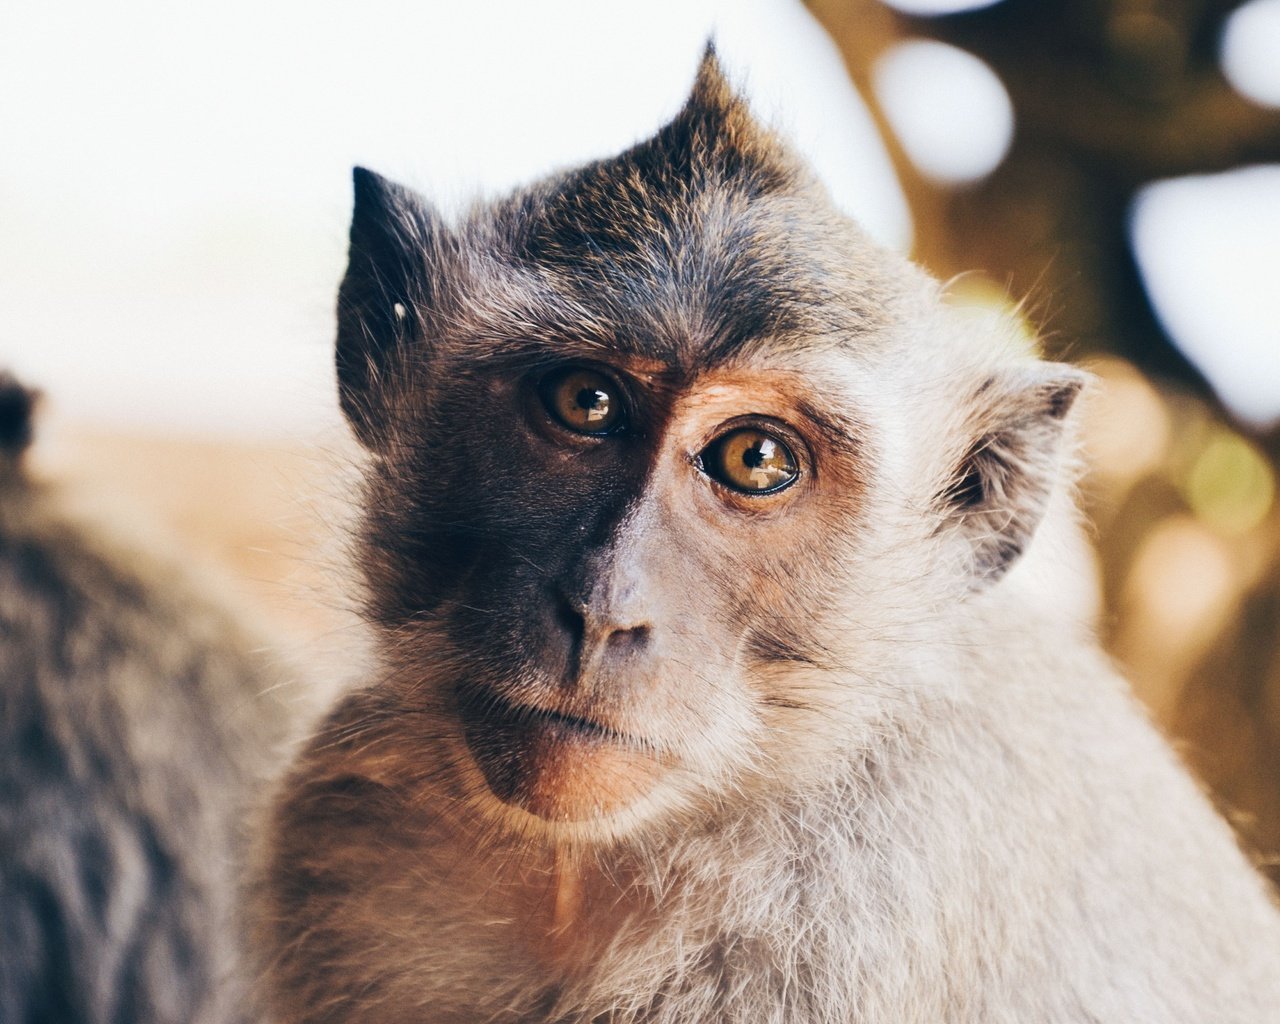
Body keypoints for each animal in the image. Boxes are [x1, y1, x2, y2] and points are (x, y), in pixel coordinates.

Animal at [254, 56, 1280, 1024]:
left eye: (756, 459)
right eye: (586, 401)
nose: (605, 611)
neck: (582, 870)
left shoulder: (852, 902)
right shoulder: (341, 832)